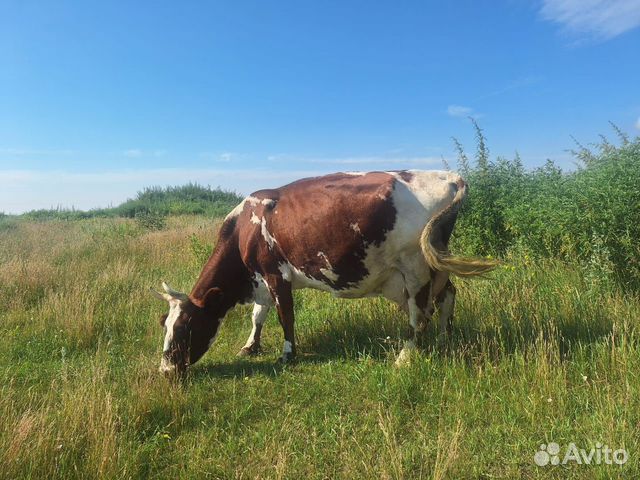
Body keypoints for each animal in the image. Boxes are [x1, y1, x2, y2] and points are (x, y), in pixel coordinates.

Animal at [152, 171, 498, 374]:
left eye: (185, 327)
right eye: (164, 324)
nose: (166, 370)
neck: (243, 229)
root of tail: (447, 176)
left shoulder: (277, 274)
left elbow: (285, 316)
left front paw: (287, 354)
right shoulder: (260, 278)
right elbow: (258, 315)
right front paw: (250, 346)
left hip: (414, 267)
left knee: (419, 314)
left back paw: (405, 355)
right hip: (432, 264)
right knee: (447, 296)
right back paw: (444, 338)